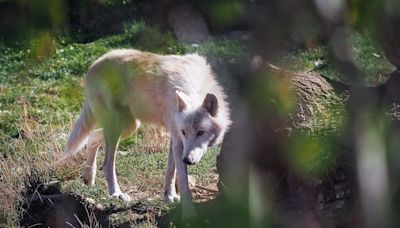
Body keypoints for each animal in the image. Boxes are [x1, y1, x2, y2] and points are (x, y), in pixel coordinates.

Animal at [63, 49, 231, 215]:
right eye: (184, 132)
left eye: (200, 132)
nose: (187, 160)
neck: (192, 86)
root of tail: (94, 64)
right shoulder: (178, 139)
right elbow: (182, 180)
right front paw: (189, 214)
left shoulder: (174, 137)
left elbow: (171, 171)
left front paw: (169, 195)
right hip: (117, 126)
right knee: (107, 163)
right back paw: (115, 193)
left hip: (128, 127)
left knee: (91, 138)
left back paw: (88, 177)